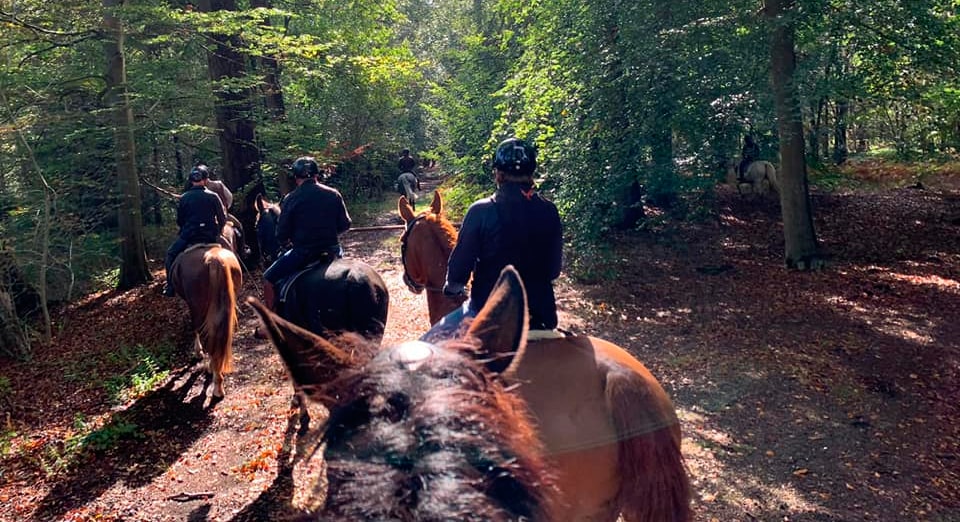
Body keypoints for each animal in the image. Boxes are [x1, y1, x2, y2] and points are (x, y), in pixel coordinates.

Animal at [170, 242, 242, 396]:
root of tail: (215, 260)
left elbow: (195, 329)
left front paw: (198, 353)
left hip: (198, 307)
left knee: (206, 336)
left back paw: (215, 381)